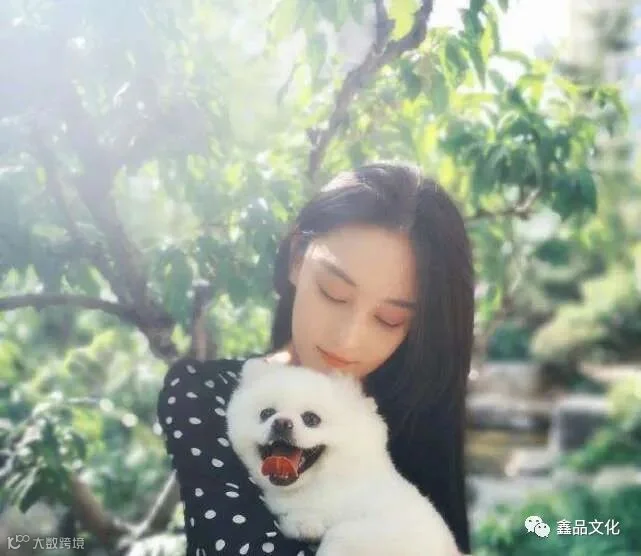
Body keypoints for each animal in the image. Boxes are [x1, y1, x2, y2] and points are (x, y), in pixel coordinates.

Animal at [226, 358, 462, 555]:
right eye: (266, 413)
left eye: (311, 419)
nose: (281, 423)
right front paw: (304, 525)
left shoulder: (397, 525)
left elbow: (342, 534)